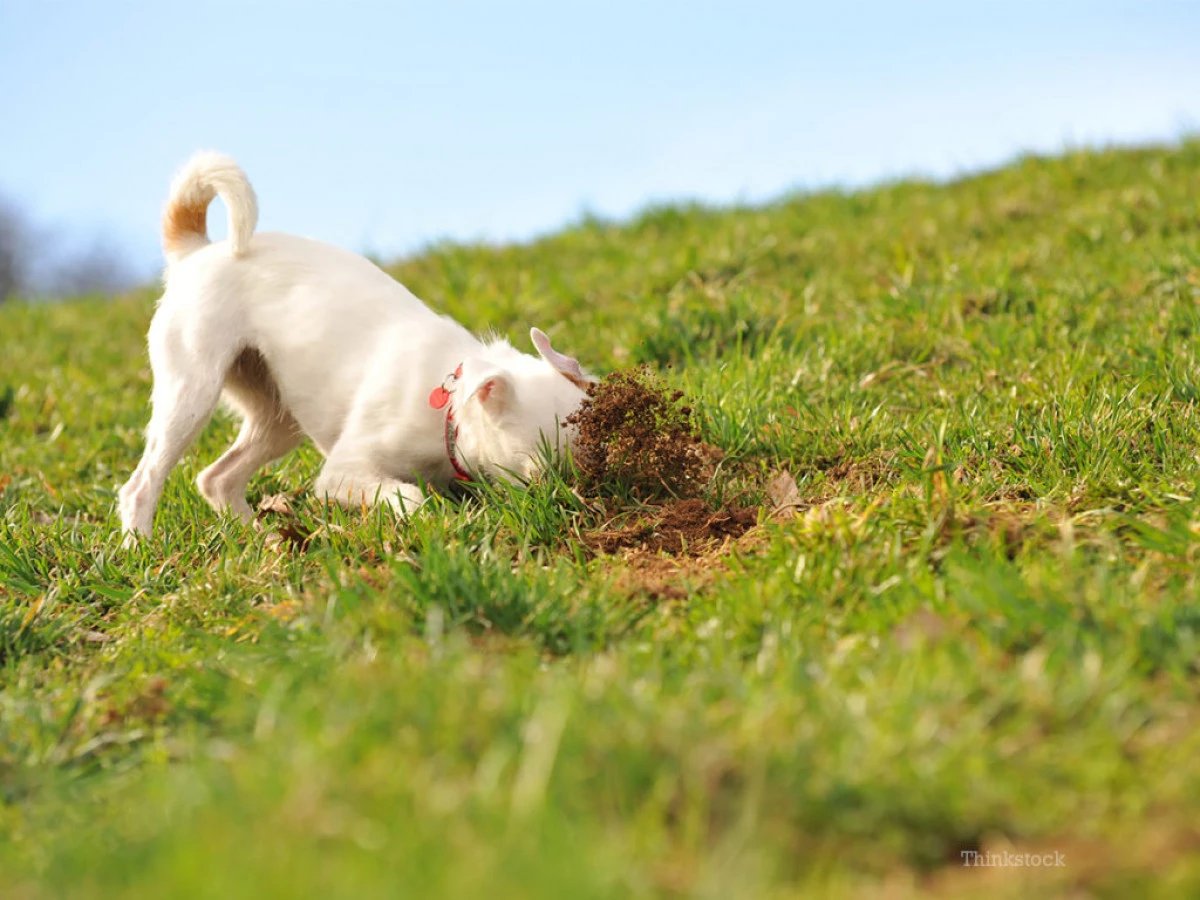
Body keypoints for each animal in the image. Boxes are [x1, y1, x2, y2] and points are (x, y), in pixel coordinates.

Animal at [119, 151, 592, 540]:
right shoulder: (341, 475)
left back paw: (259, 536)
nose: (579, 501)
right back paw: (140, 546)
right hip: (191, 394)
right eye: (538, 474)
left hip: (277, 417)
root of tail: (196, 251)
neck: (449, 415)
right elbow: (410, 496)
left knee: (217, 478)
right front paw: (428, 519)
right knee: (141, 484)